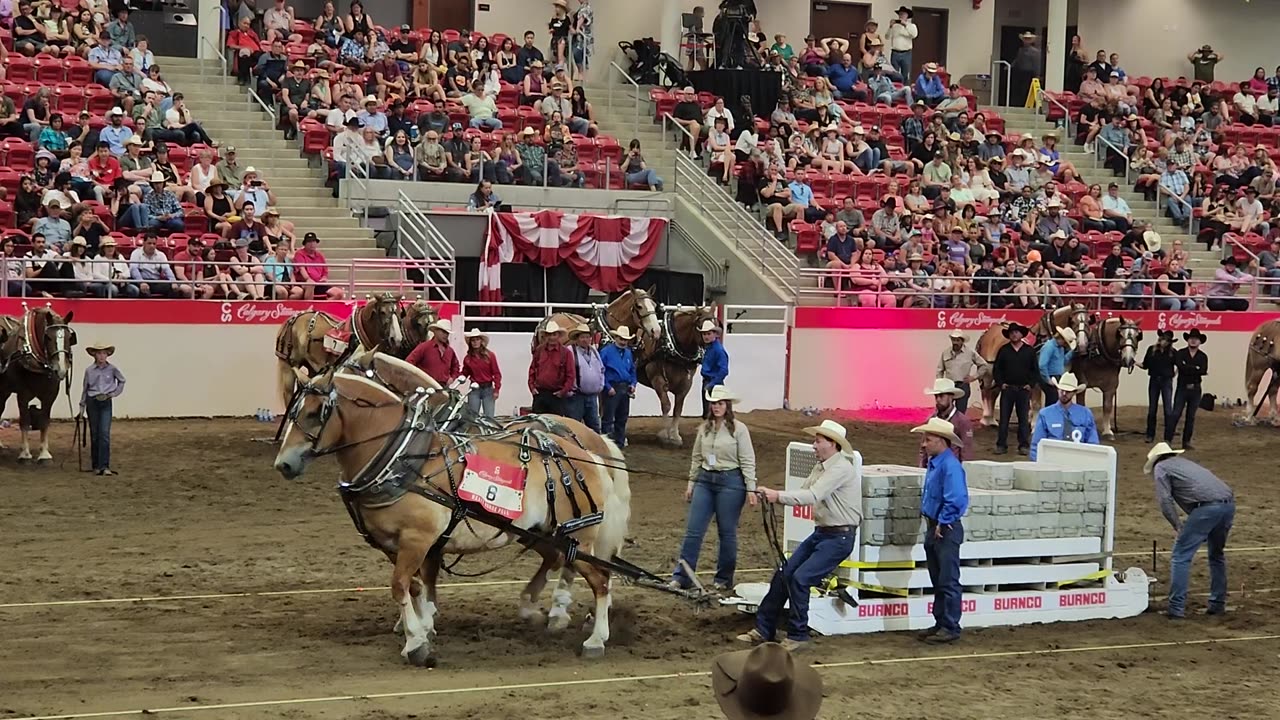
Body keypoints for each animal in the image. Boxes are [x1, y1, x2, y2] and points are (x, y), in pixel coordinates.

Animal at [0, 302, 76, 458]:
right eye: (47, 337)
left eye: (69, 337)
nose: (60, 369)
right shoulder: (23, 393)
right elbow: (24, 421)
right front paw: (25, 453)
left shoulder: (51, 394)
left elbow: (44, 421)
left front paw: (44, 453)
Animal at [272, 351, 632, 661]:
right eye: (293, 410)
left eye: (314, 412)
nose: (283, 464)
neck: (404, 455)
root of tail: (590, 450)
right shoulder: (401, 544)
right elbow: (417, 585)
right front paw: (421, 625)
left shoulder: (419, 538)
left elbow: (402, 585)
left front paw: (416, 640)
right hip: (541, 531)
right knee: (561, 562)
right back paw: (535, 607)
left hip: (575, 535)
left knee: (598, 578)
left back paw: (588, 633)